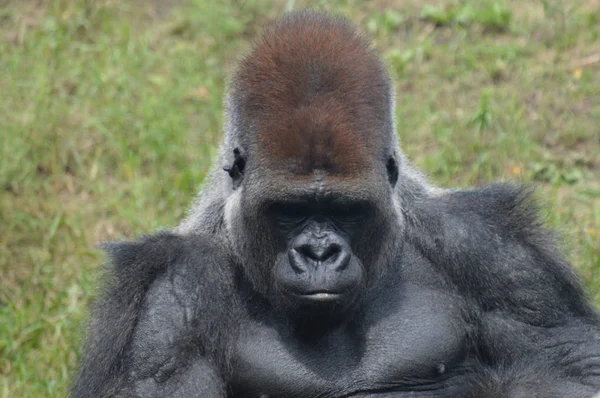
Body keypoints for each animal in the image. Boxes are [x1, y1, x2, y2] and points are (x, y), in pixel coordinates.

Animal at [74, 9, 600, 398]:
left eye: (347, 210)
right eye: (288, 211)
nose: (320, 253)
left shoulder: (494, 251)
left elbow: (572, 365)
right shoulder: (165, 305)